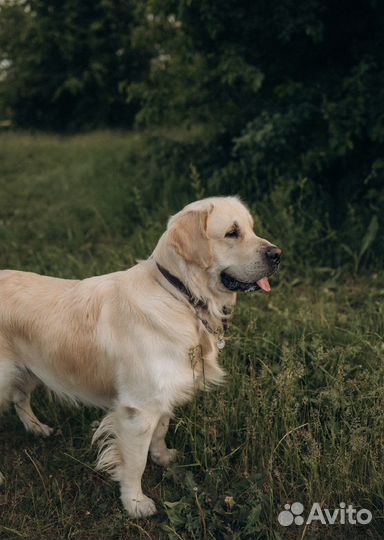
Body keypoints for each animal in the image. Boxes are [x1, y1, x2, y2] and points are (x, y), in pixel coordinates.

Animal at [0, 196, 282, 516]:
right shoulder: (138, 408)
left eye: (251, 227)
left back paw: (37, 429)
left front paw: (163, 456)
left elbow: (161, 430)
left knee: (20, 397)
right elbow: (135, 462)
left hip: (29, 368)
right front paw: (135, 503)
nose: (278, 255)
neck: (180, 296)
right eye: (232, 233)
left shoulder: (164, 392)